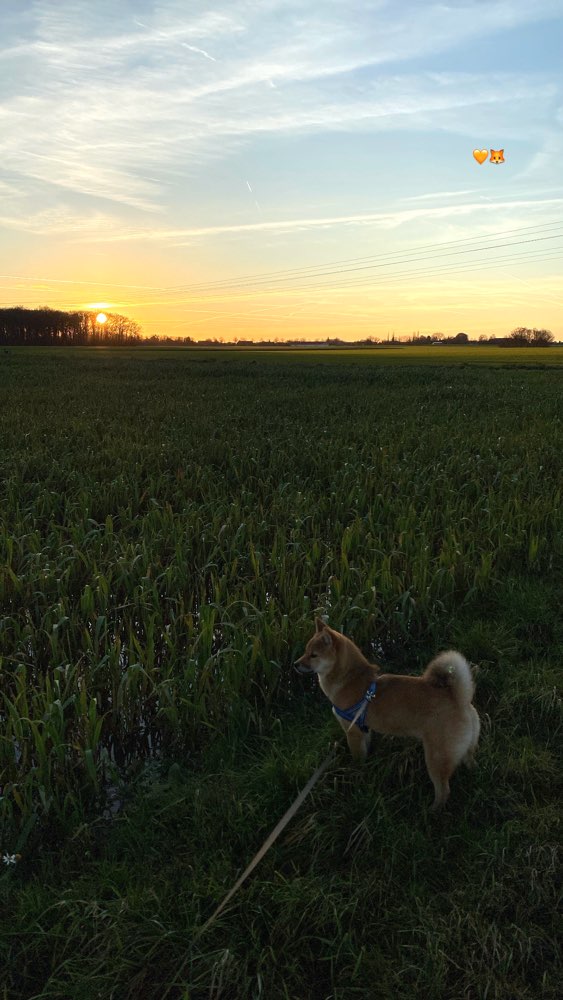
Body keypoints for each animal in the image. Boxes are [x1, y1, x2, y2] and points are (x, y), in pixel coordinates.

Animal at [296, 620, 480, 808]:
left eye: (313, 655)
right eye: (305, 651)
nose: (295, 664)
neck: (348, 679)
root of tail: (459, 699)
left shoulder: (352, 731)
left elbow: (357, 757)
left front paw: (357, 771)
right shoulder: (364, 730)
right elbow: (366, 750)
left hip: (436, 757)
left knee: (444, 791)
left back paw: (432, 809)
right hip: (466, 749)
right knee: (471, 764)